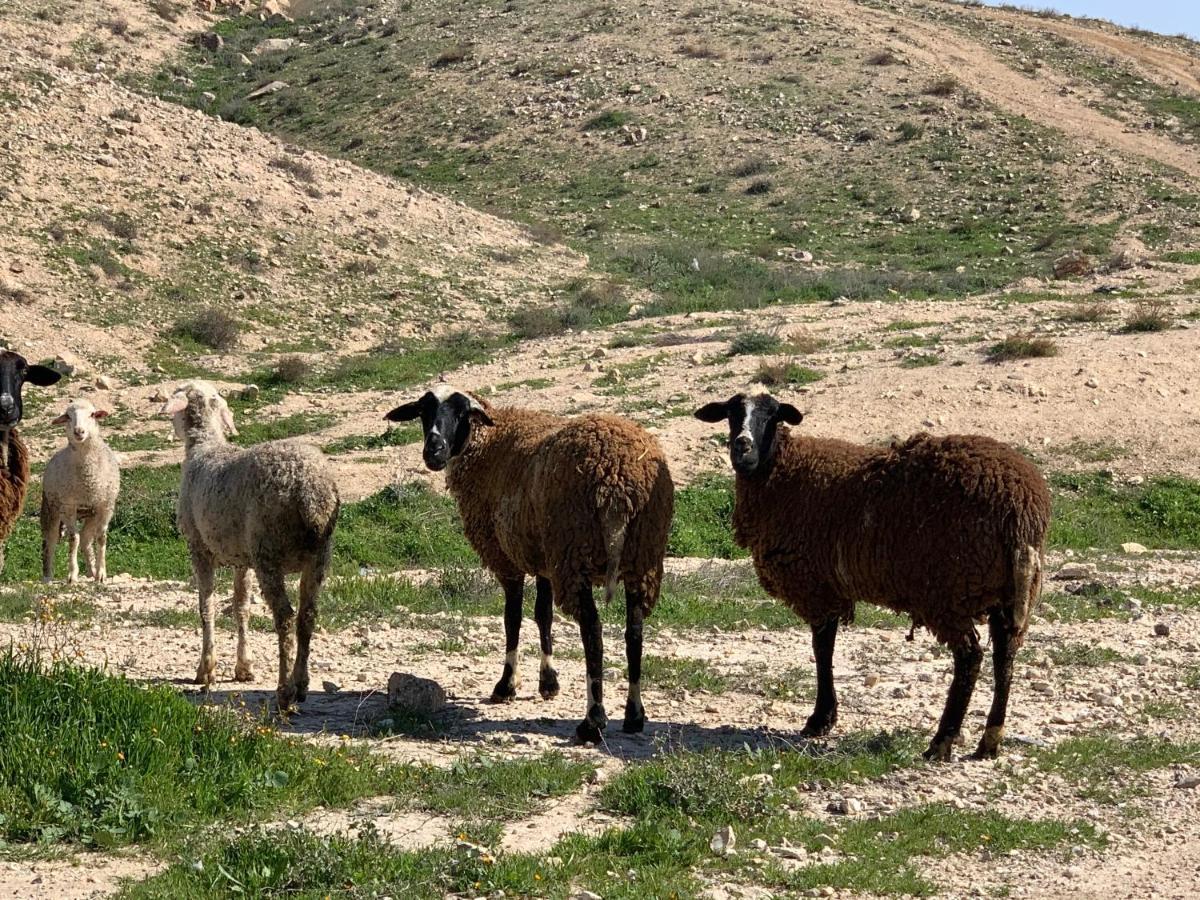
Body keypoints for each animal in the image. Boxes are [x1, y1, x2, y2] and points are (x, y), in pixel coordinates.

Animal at [41, 400, 120, 585]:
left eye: (92, 414)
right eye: (68, 416)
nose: (79, 431)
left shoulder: (106, 506)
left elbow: (101, 538)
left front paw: (101, 574)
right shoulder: (68, 506)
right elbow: (73, 539)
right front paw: (72, 574)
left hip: (91, 513)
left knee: (85, 538)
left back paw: (91, 571)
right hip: (51, 508)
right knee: (50, 541)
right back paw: (47, 576)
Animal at [162, 381, 340, 710]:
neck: (205, 446)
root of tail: (310, 493)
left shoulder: (199, 547)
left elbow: (205, 606)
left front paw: (206, 669)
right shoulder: (241, 558)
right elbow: (241, 606)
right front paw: (243, 666)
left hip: (268, 552)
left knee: (285, 618)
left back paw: (284, 692)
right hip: (319, 554)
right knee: (307, 616)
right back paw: (302, 683)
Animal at [388, 388, 681, 748]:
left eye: (460, 414)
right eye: (424, 412)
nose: (434, 451)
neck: (487, 441)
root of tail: (620, 480)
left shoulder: (507, 558)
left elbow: (512, 618)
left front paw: (506, 685)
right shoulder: (542, 559)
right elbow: (543, 615)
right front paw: (548, 683)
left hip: (575, 553)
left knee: (593, 632)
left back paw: (592, 722)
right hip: (642, 557)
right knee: (634, 633)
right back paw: (634, 715)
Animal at [696, 393, 1051, 763]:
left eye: (772, 415)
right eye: (731, 413)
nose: (742, 446)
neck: (781, 471)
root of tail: (1023, 510)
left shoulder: (816, 585)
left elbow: (822, 648)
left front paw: (820, 719)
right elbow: (825, 647)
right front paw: (824, 717)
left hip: (948, 589)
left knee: (970, 657)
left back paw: (941, 742)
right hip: (1008, 590)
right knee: (1005, 656)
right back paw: (989, 742)